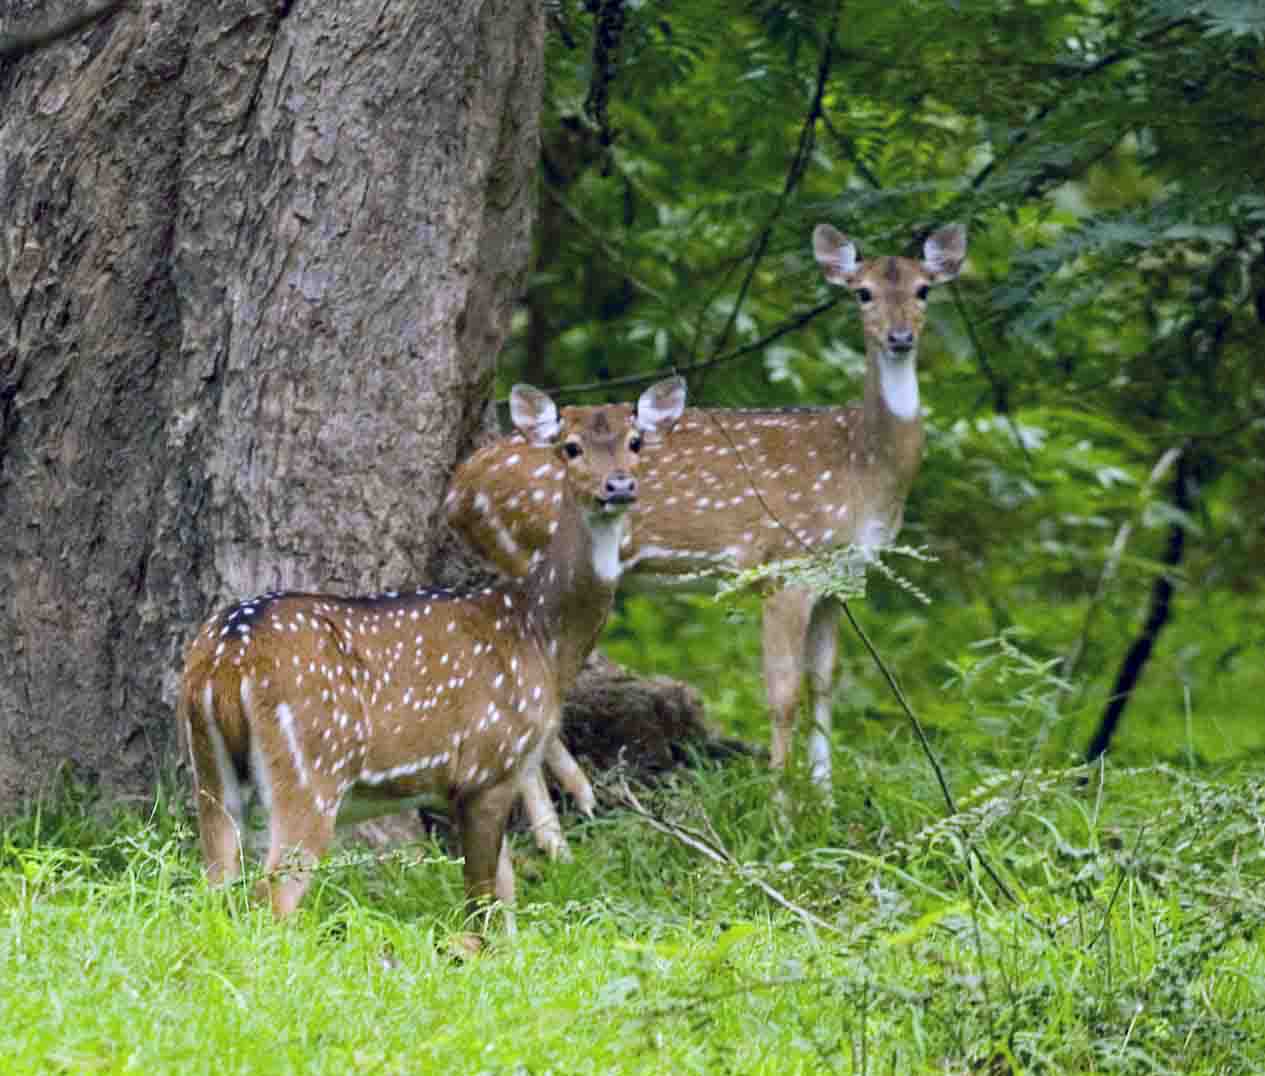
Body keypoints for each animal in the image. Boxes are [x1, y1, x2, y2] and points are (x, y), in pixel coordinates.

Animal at [178, 377, 687, 927]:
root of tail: (227, 658)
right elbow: (481, 903)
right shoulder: (490, 763)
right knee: (272, 899)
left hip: (210, 767)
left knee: (214, 886)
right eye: (569, 447)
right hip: (311, 769)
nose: (619, 486)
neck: (541, 637)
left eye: (636, 441)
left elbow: (504, 894)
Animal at [447, 223, 966, 816]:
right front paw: (782, 811)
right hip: (529, 553)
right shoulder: (784, 565)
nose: (900, 337)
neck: (862, 467)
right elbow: (782, 693)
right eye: (863, 293)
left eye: (924, 289)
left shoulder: (839, 577)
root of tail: (458, 488)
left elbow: (823, 683)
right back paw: (572, 799)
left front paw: (827, 802)